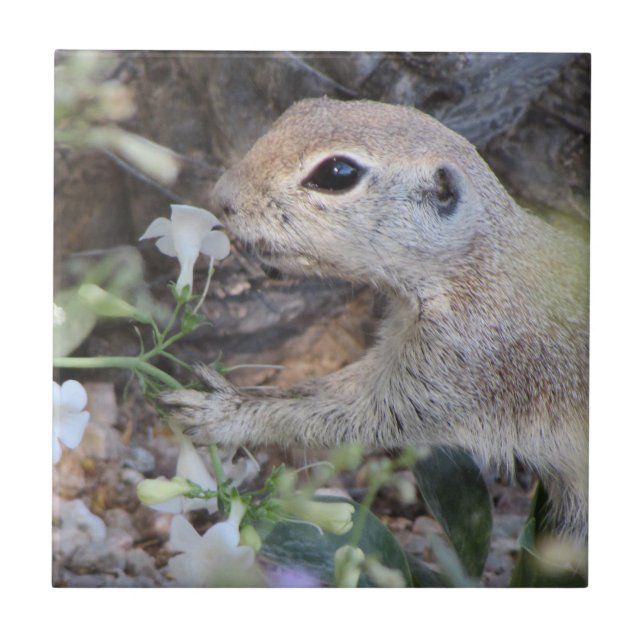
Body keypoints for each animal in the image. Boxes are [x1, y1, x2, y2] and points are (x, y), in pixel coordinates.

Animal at [162, 98, 589, 538]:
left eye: (337, 173)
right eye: (299, 108)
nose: (221, 196)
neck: (475, 265)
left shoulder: (459, 366)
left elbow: (362, 416)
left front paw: (224, 413)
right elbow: (326, 390)